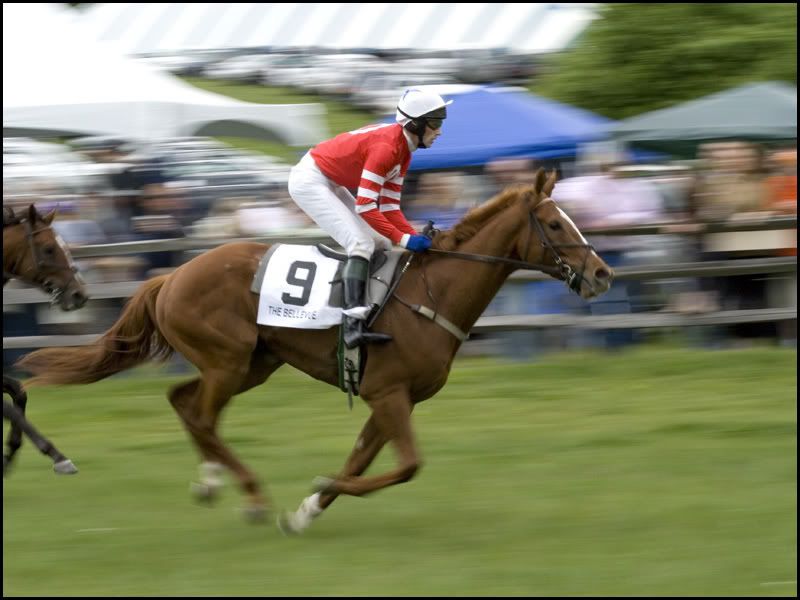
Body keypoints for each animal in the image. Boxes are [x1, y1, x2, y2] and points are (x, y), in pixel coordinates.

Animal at [3, 204, 88, 475]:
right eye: (49, 248)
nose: (80, 295)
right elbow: (10, 408)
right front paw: (58, 457)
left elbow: (19, 392)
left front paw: (9, 453)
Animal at [16, 169, 613, 531]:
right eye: (555, 222)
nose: (602, 274)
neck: (431, 292)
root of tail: (171, 275)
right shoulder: (389, 394)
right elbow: (408, 465)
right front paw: (319, 487)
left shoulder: (391, 397)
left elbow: (366, 457)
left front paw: (306, 510)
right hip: (229, 360)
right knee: (202, 414)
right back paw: (250, 495)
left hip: (250, 363)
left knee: (185, 402)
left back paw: (211, 481)